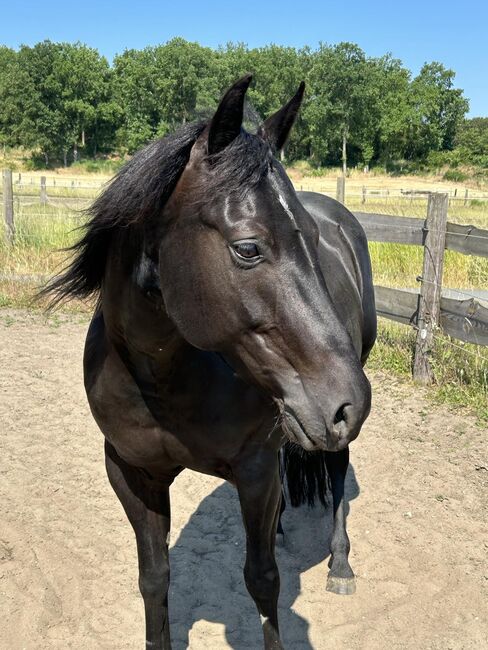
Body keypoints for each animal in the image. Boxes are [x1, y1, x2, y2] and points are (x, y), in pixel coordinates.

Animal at [43, 73, 378, 644]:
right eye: (247, 248)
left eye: (312, 239)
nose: (349, 401)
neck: (163, 381)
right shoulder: (131, 472)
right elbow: (154, 578)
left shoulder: (256, 471)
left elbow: (263, 582)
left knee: (336, 471)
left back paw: (340, 564)